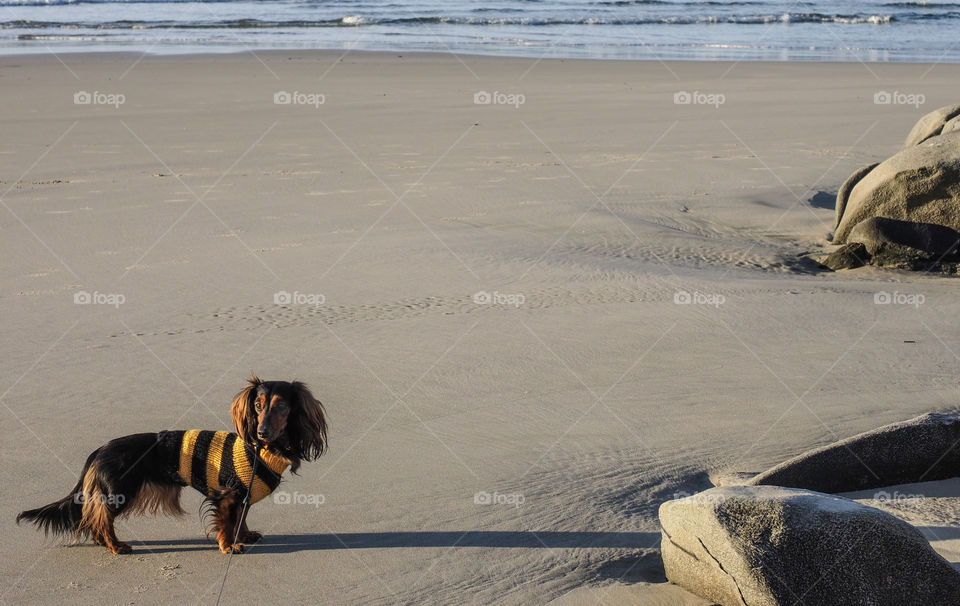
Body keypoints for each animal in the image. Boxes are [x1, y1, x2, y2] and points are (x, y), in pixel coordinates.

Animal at [15, 378, 326, 560]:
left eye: (282, 406)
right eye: (258, 406)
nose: (261, 432)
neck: (260, 450)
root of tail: (99, 450)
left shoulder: (243, 497)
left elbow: (241, 519)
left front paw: (245, 535)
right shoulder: (226, 496)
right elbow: (227, 523)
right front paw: (228, 546)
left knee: (94, 519)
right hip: (119, 494)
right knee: (102, 520)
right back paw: (115, 546)